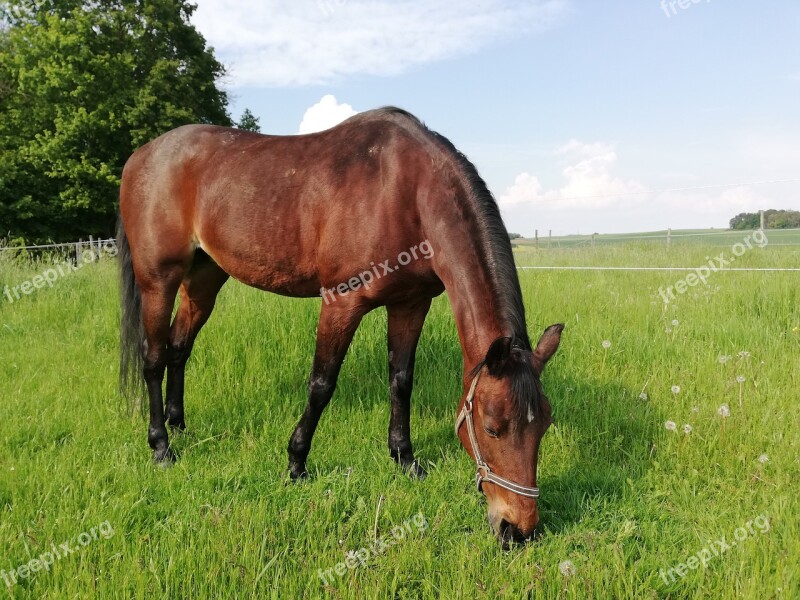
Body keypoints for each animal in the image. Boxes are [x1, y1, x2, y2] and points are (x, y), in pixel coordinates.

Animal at [119, 105, 564, 548]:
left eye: (544, 423)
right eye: (491, 428)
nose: (518, 529)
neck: (405, 191)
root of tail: (140, 156)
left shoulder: (410, 304)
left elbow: (401, 380)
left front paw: (405, 459)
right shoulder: (341, 302)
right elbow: (322, 384)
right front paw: (296, 463)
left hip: (204, 279)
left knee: (179, 348)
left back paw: (179, 425)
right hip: (159, 280)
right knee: (153, 358)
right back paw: (161, 447)